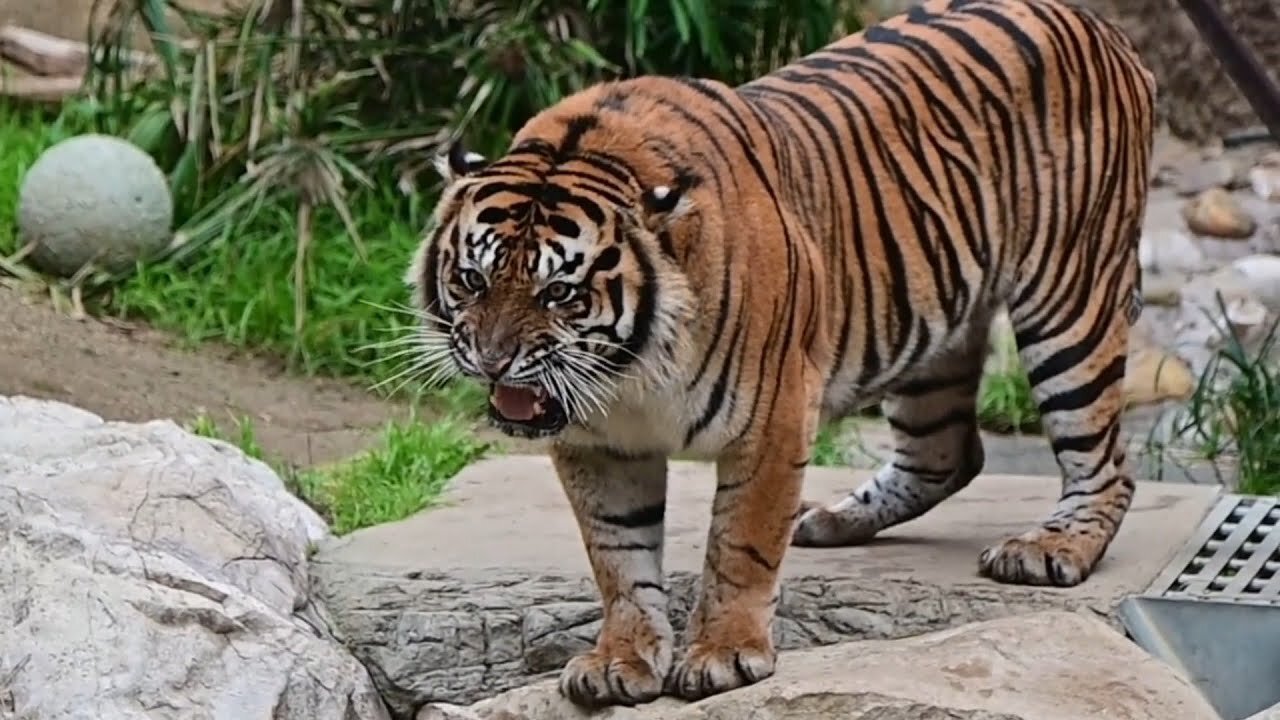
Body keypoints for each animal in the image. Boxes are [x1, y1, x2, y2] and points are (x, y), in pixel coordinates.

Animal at [404, 0, 1157, 707]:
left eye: (559, 291)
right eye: (472, 279)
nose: (492, 360)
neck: (628, 374)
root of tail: (1097, 24)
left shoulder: (773, 417)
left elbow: (741, 541)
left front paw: (723, 655)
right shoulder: (599, 443)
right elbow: (618, 555)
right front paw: (620, 659)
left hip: (1070, 296)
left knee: (1108, 462)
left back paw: (1049, 548)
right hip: (929, 325)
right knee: (947, 452)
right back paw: (833, 519)